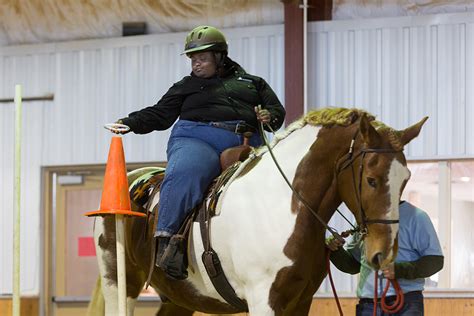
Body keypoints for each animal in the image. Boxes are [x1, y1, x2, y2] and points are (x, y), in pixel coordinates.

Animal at [87, 108, 428, 316]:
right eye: (371, 179)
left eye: (406, 179)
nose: (384, 254)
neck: (283, 205)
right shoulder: (264, 299)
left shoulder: (300, 301)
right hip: (120, 283)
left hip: (178, 295)